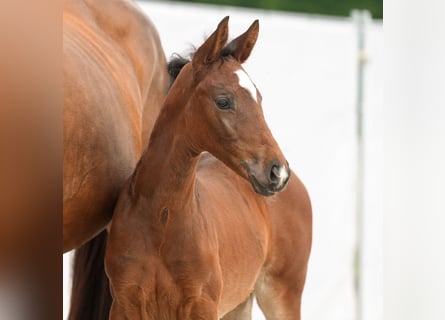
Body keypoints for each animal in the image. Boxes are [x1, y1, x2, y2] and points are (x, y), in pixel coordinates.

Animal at [104, 16, 312, 318]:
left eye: (259, 98)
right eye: (223, 101)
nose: (277, 171)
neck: (161, 216)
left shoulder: (201, 305)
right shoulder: (125, 303)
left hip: (282, 293)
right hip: (240, 302)